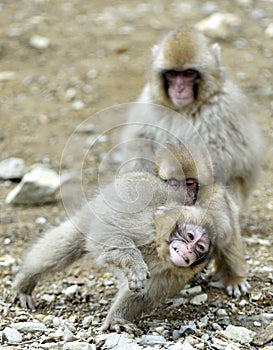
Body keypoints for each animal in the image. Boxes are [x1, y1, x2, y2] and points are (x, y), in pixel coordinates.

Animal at [12, 143, 248, 334]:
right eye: (189, 236)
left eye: (199, 247)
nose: (189, 250)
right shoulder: (147, 228)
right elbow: (110, 236)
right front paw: (134, 265)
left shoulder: (176, 269)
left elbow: (142, 295)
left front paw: (117, 319)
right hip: (94, 210)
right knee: (67, 245)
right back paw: (26, 281)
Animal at [120, 26, 262, 208]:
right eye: (173, 74)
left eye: (188, 73)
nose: (179, 89)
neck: (185, 109)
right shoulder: (148, 103)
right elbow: (139, 142)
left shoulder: (223, 109)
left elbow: (221, 158)